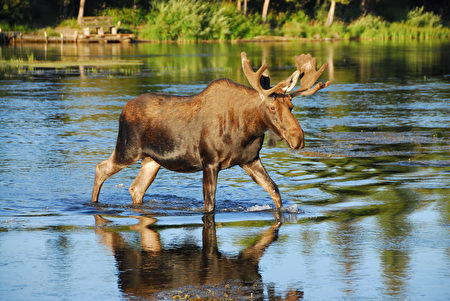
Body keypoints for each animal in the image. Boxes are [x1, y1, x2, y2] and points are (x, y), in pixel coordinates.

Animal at [91, 51, 330, 211]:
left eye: (291, 106)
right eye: (272, 107)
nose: (298, 139)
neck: (247, 130)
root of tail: (124, 109)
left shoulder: (250, 159)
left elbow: (275, 191)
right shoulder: (210, 162)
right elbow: (210, 205)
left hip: (152, 160)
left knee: (136, 188)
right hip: (128, 150)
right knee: (101, 168)